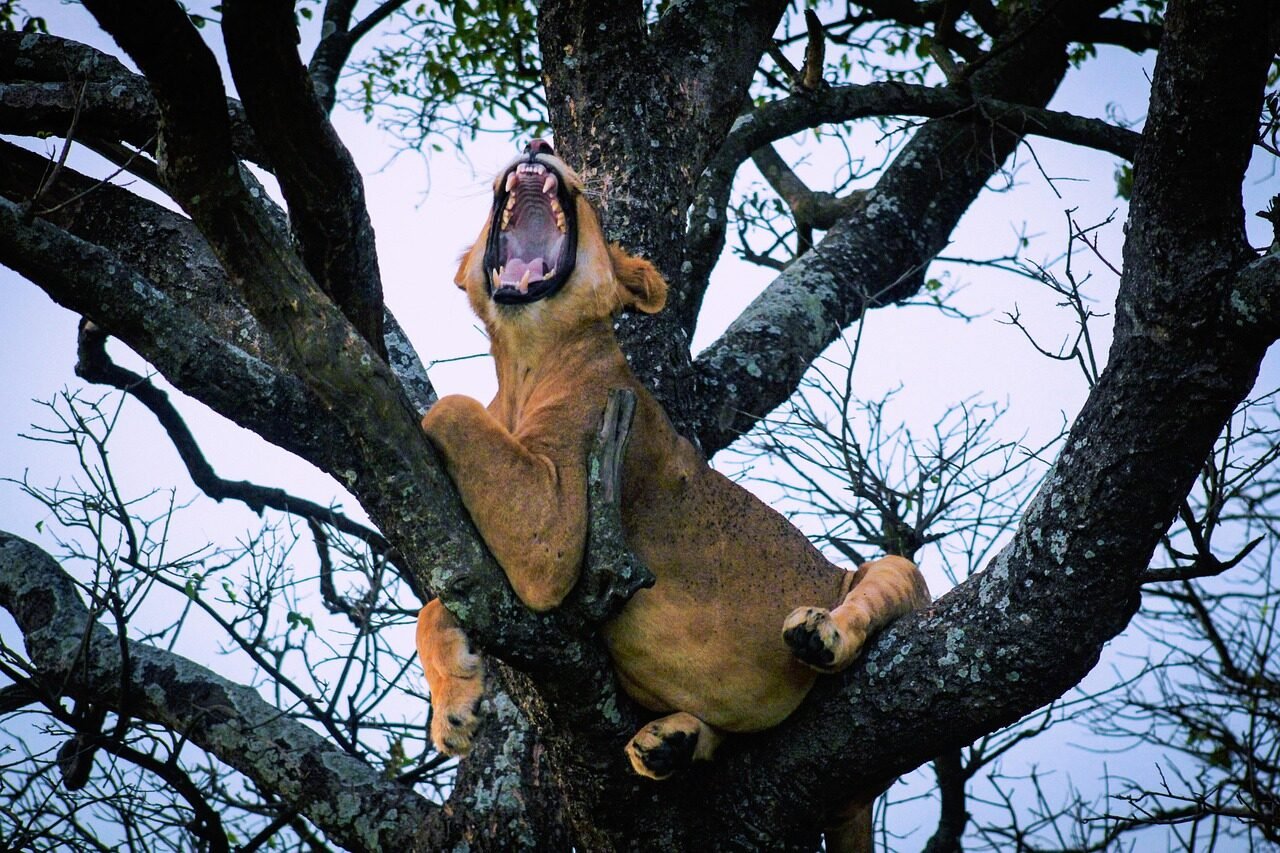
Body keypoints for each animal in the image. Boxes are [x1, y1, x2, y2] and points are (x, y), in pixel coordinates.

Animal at [416, 139, 930, 786]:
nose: (539, 145)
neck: (522, 363)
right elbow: (435, 605)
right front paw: (454, 710)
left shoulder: (553, 532)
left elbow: (448, 408)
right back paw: (669, 742)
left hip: (889, 574)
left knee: (870, 596)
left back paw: (820, 634)